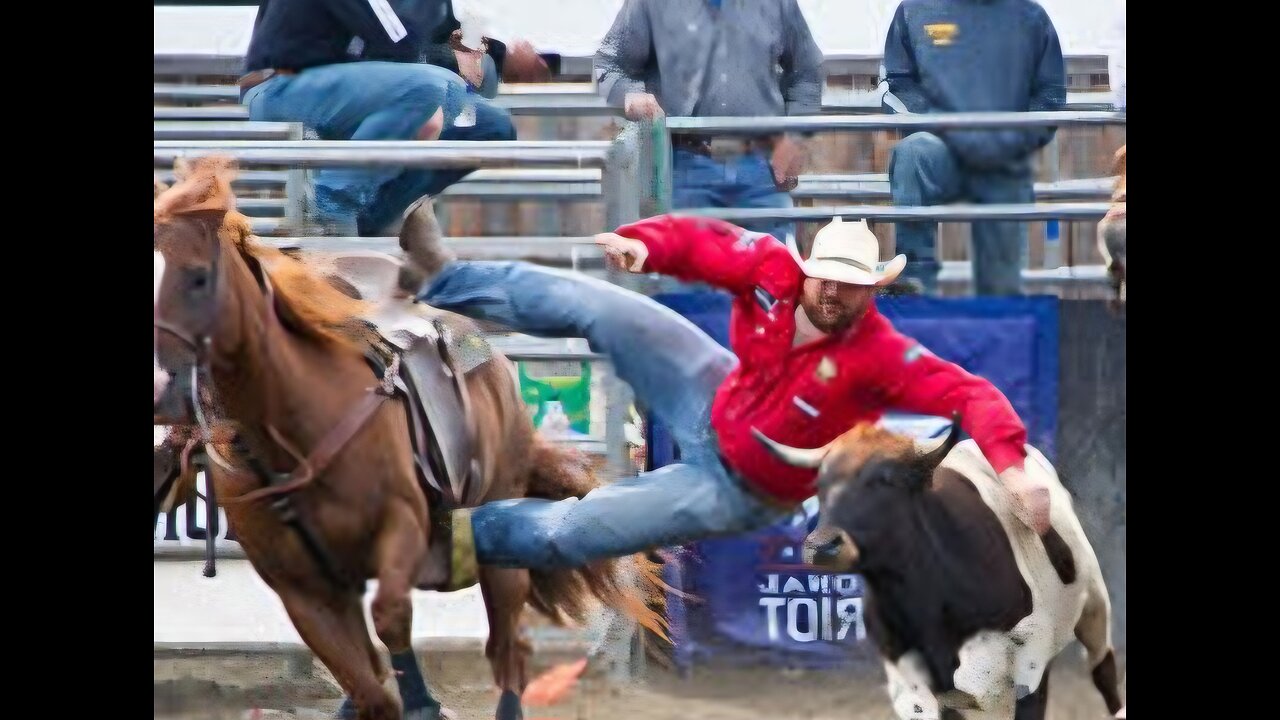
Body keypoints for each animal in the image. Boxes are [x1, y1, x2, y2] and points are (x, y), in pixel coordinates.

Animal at [153, 158, 665, 717]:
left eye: (198, 276)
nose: (157, 388)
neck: (291, 425)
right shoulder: (302, 592)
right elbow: (367, 683)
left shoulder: (400, 527)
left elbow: (391, 617)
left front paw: (422, 702)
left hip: (501, 533)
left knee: (507, 649)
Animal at [752, 417, 1126, 712]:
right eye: (821, 483)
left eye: (886, 480)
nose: (821, 546)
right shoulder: (915, 685)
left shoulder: (1027, 667)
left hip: (1094, 605)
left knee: (1103, 668)